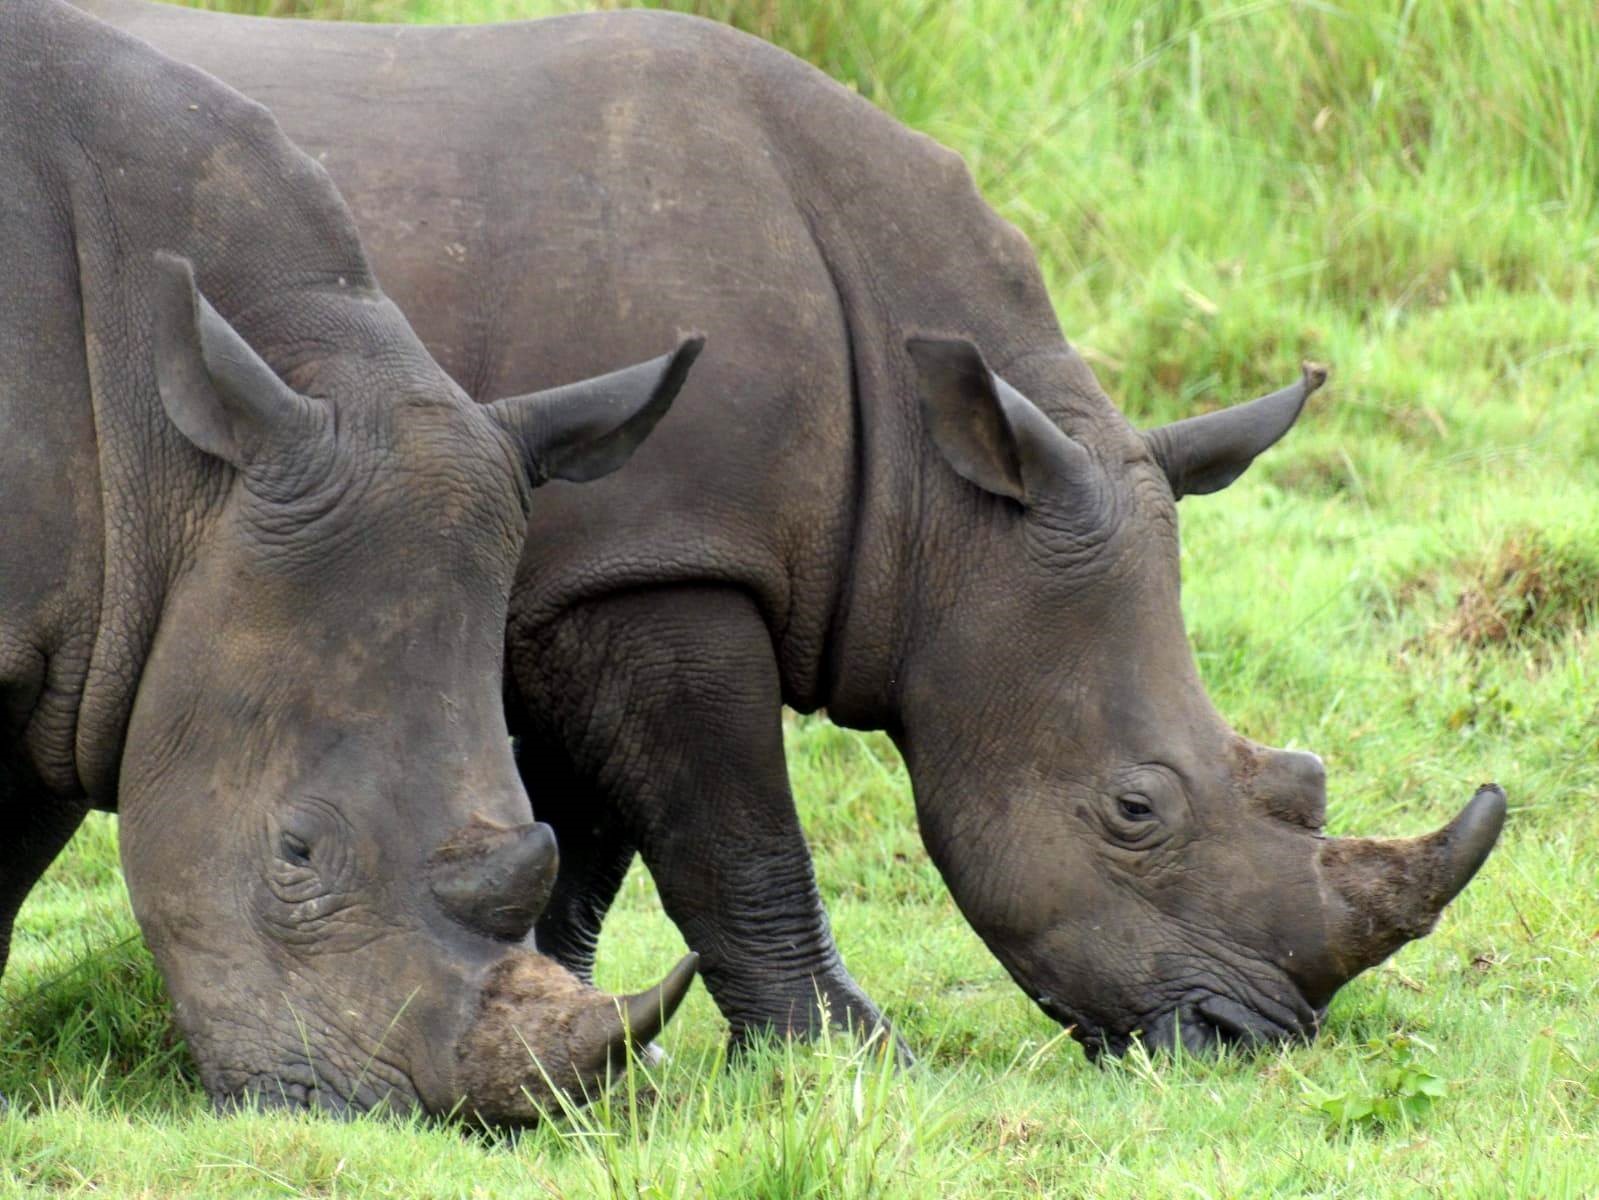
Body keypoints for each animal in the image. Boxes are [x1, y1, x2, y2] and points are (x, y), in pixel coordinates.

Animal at [82, 0, 1508, 1058]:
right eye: (1134, 808)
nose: (1249, 1037)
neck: (948, 493)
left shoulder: (590, 569)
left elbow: (588, 840)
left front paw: (570, 1026)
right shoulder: (654, 556)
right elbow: (733, 825)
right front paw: (849, 1055)